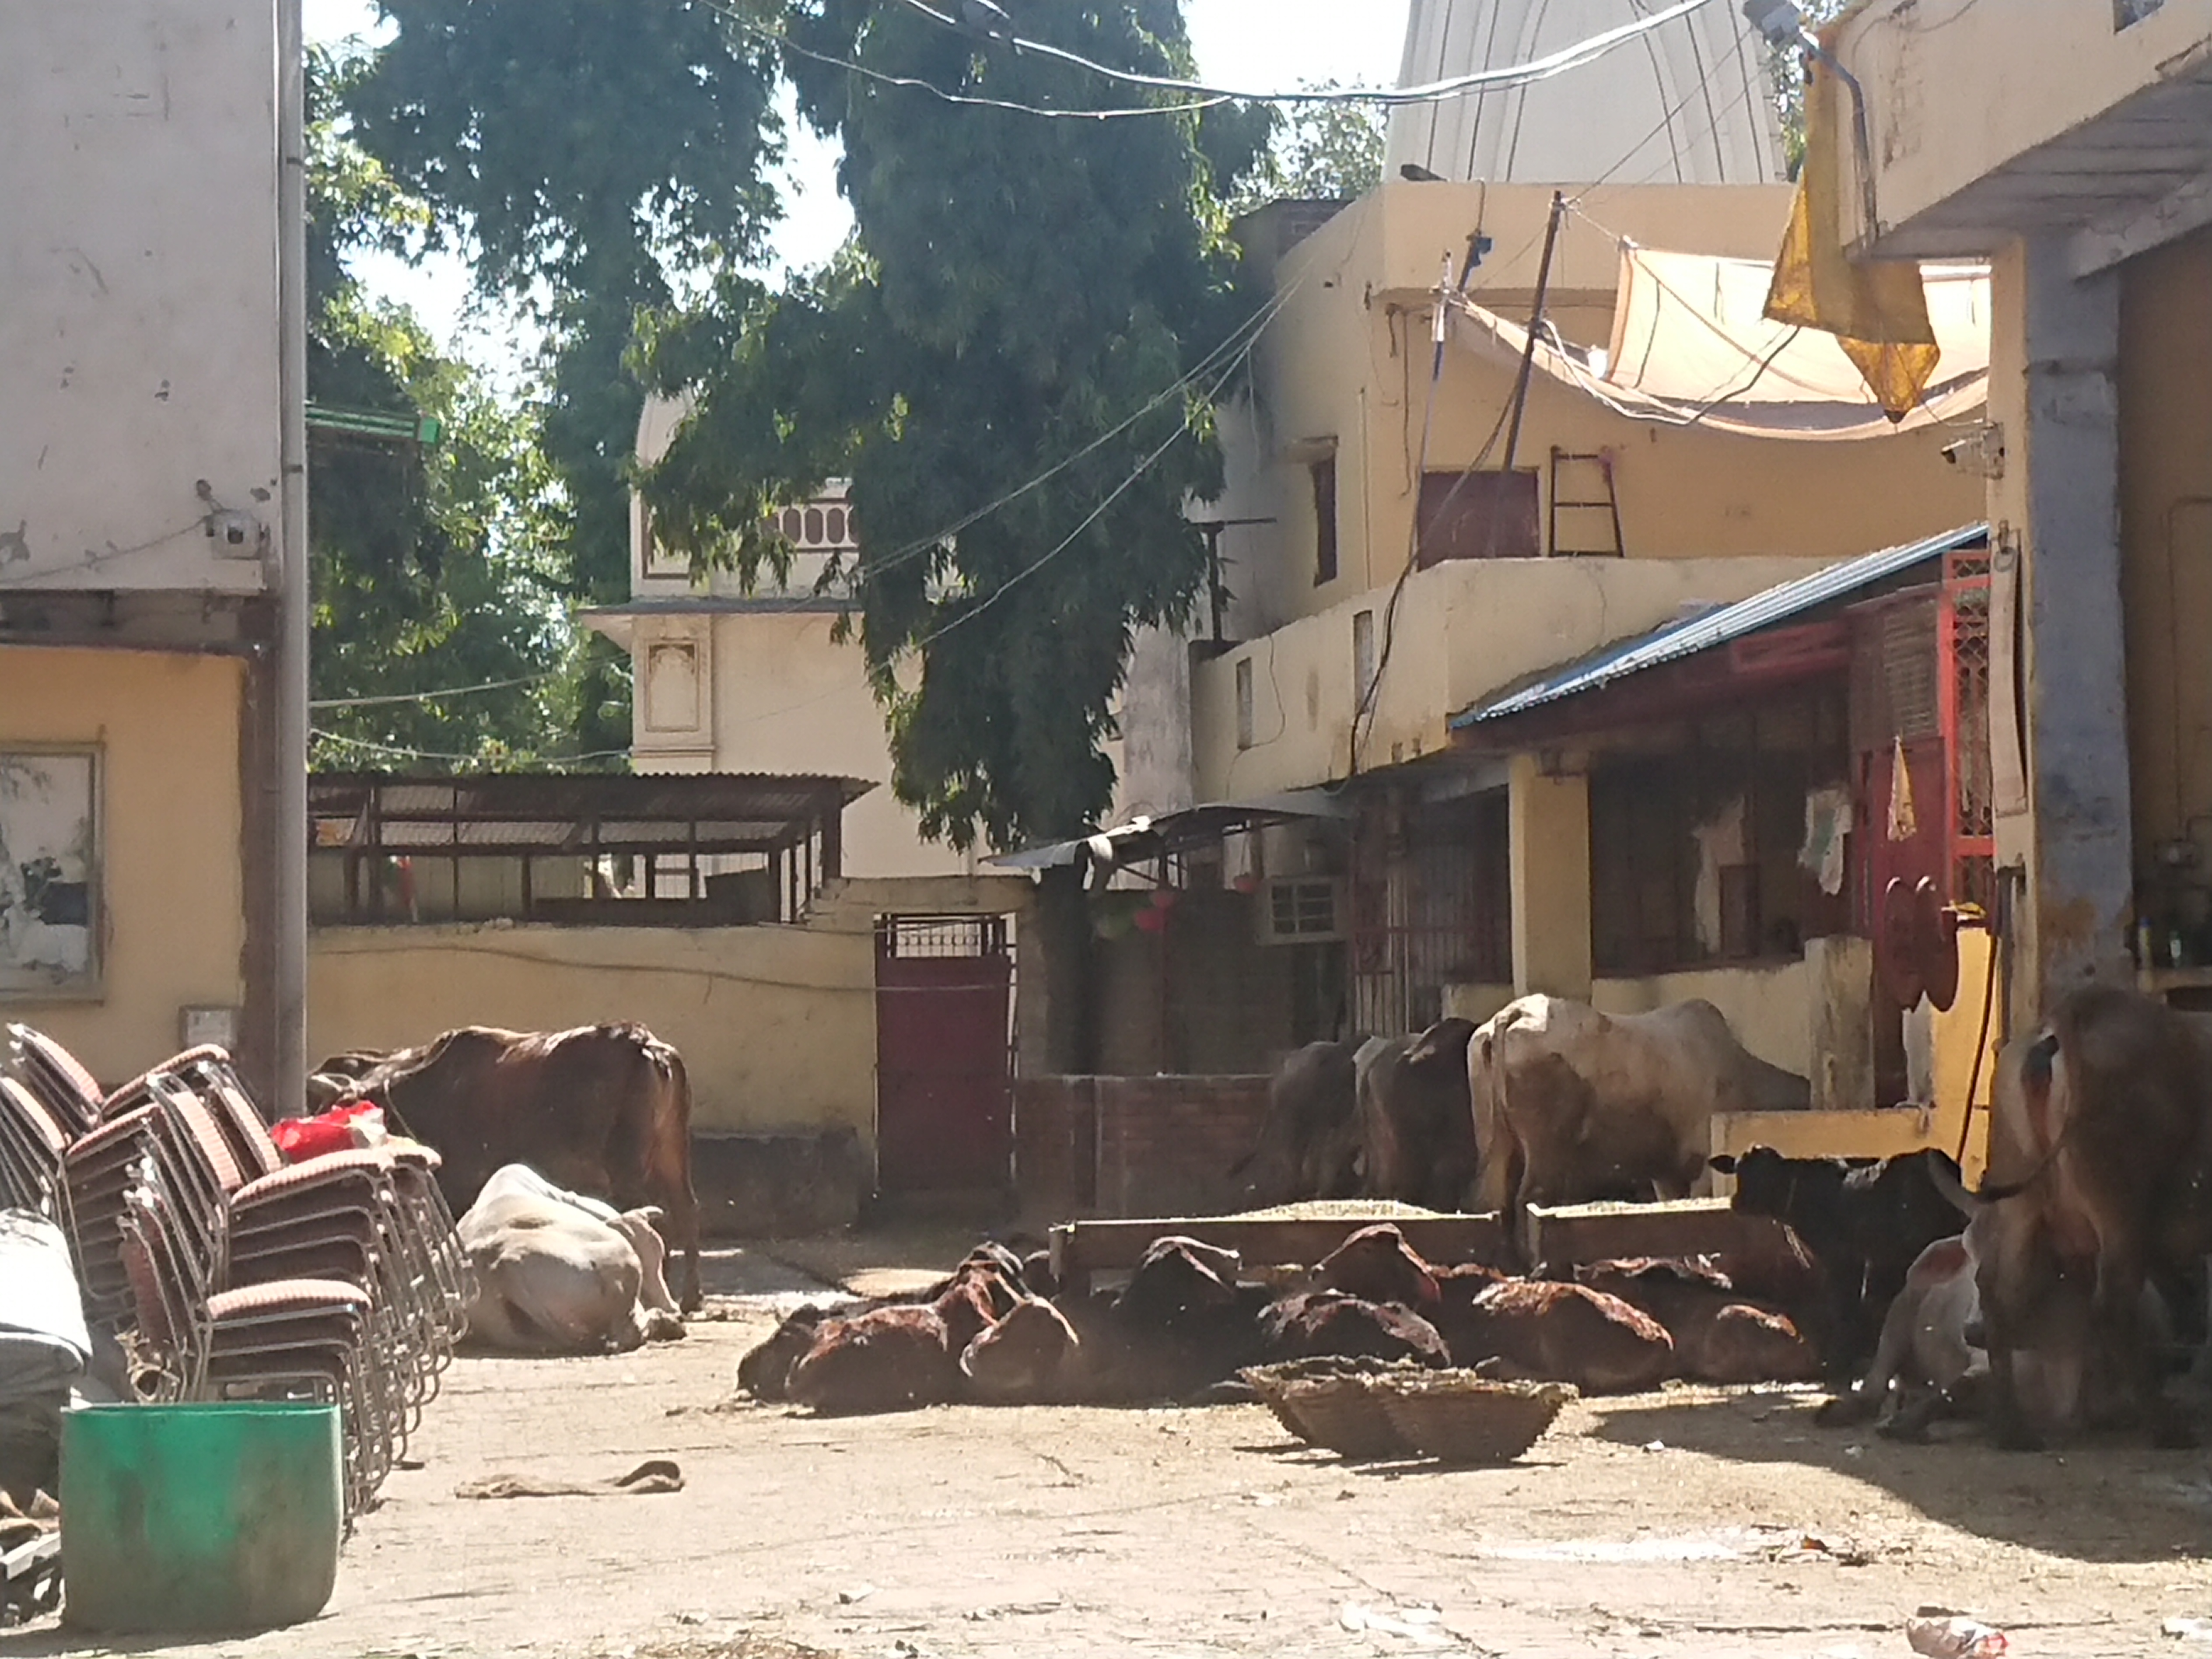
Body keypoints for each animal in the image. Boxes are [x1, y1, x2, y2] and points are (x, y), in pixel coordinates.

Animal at [457, 1164, 684, 1355]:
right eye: (657, 1258)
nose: (675, 1308)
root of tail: (500, 1266)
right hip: (624, 1263)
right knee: (628, 1332)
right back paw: (668, 1322)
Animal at [1471, 997, 1809, 1234]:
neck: (1744, 1075)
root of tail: (1509, 1015)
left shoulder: (1666, 1174)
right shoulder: (1701, 1163)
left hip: (1494, 1145)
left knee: (1492, 1202)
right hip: (1547, 1148)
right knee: (1530, 1197)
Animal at [1706, 1147, 1966, 1375]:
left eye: (1766, 1174)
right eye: (1739, 1171)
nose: (1737, 1202)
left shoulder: (1842, 1259)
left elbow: (1846, 1305)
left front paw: (1840, 1361)